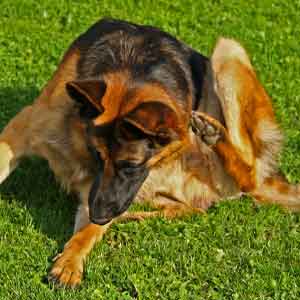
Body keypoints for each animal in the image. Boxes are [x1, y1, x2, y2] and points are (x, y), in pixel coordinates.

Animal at [0, 18, 300, 286]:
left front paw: (70, 261)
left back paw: (212, 133)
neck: (131, 67)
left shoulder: (103, 194)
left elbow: (86, 234)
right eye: (97, 156)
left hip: (228, 51)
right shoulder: (24, 130)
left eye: (131, 166)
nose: (99, 215)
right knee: (195, 210)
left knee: (248, 174)